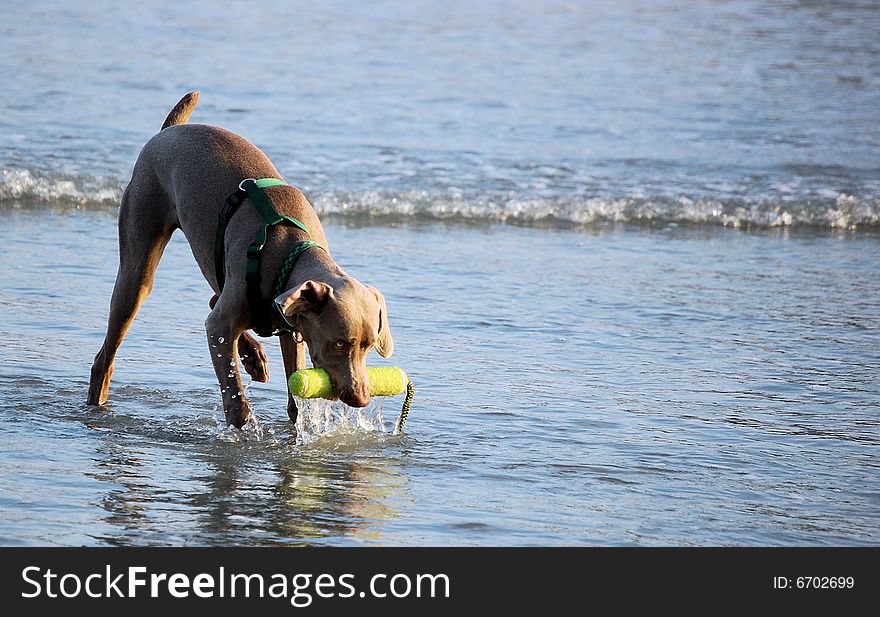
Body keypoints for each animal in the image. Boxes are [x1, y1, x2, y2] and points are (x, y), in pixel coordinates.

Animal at [87, 91, 394, 426]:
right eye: (339, 343)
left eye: (368, 345)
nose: (361, 399)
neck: (291, 252)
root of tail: (168, 131)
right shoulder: (223, 325)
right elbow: (234, 399)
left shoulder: (293, 326)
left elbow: (294, 398)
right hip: (139, 255)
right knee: (107, 353)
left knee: (214, 300)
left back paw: (254, 357)